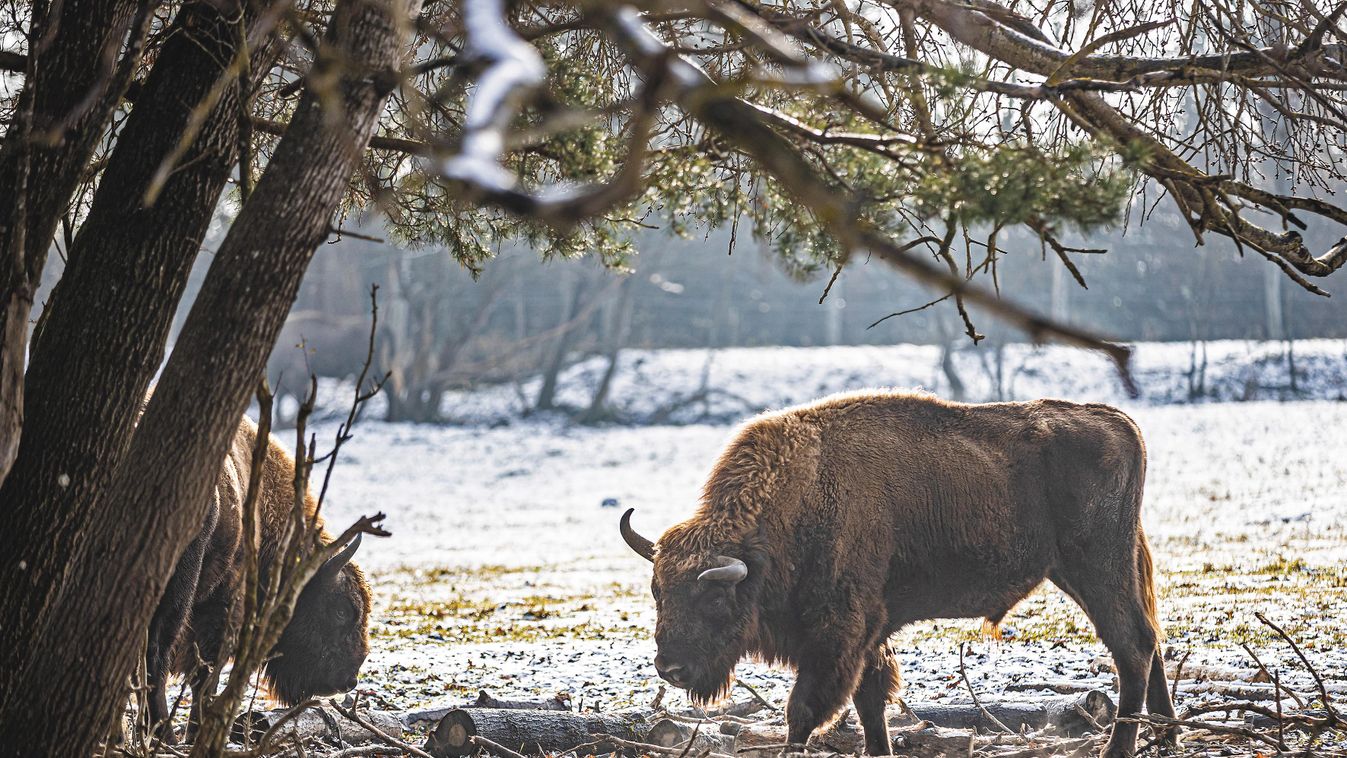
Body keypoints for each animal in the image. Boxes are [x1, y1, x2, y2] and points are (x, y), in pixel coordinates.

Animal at [146, 414, 374, 743]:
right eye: (342, 610)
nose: (349, 679)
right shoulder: (224, 605)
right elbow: (206, 674)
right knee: (158, 654)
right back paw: (165, 737)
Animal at [625, 390, 1174, 758]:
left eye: (713, 597)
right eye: (658, 593)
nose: (669, 668)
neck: (799, 499)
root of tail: (1120, 421)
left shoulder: (838, 634)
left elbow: (805, 709)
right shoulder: (870, 634)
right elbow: (871, 702)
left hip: (1097, 567)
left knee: (1131, 646)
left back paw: (1120, 747)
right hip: (1104, 567)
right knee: (1151, 640)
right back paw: (1166, 734)